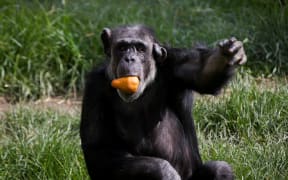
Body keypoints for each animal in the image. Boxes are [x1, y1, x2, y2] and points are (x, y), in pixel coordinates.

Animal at [80, 24, 246, 180]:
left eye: (140, 49)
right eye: (122, 48)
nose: (130, 58)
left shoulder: (176, 63)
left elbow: (204, 74)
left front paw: (228, 54)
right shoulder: (94, 88)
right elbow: (98, 148)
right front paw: (163, 170)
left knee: (220, 169)